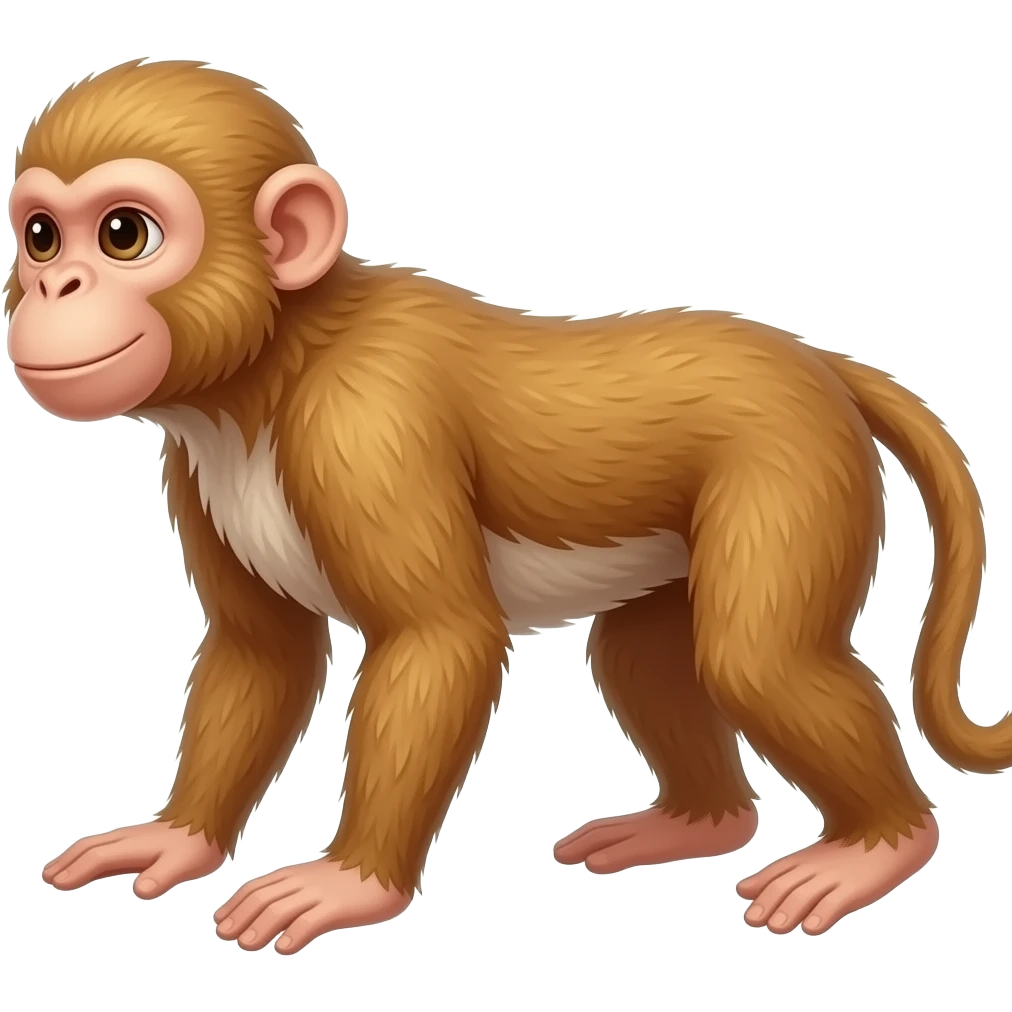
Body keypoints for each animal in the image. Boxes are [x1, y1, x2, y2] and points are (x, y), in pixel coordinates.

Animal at [7, 58, 1006, 955]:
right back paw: (698, 824)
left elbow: (439, 637)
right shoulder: (195, 463)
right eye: (44, 237)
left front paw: (351, 881)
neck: (272, 367)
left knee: (756, 658)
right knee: (645, 656)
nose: (53, 286)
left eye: (125, 234)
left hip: (792, 465)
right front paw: (177, 838)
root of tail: (814, 361)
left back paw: (879, 846)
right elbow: (262, 653)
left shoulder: (366, 426)